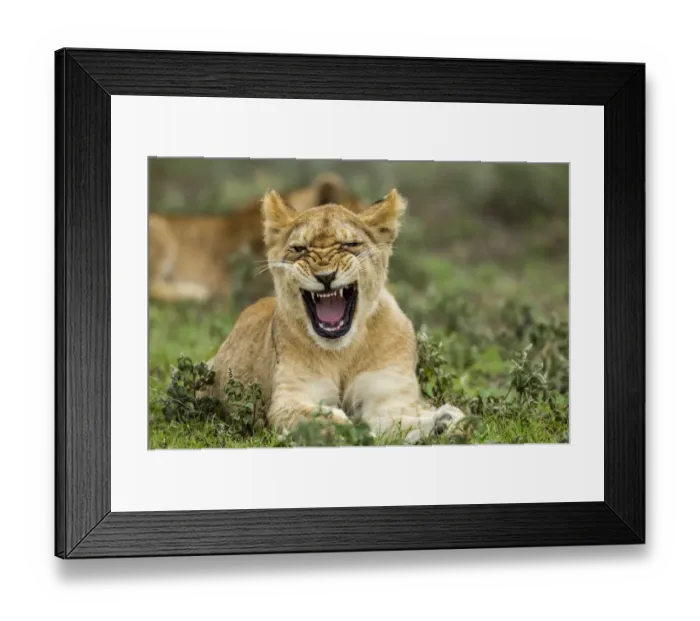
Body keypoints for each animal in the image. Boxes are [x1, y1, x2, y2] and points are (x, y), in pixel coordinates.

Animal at [203, 188, 466, 444]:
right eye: (299, 248)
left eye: (350, 244)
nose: (326, 276)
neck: (342, 351)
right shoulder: (289, 398)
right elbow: (322, 419)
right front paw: (354, 433)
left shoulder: (387, 395)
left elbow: (398, 421)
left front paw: (444, 422)